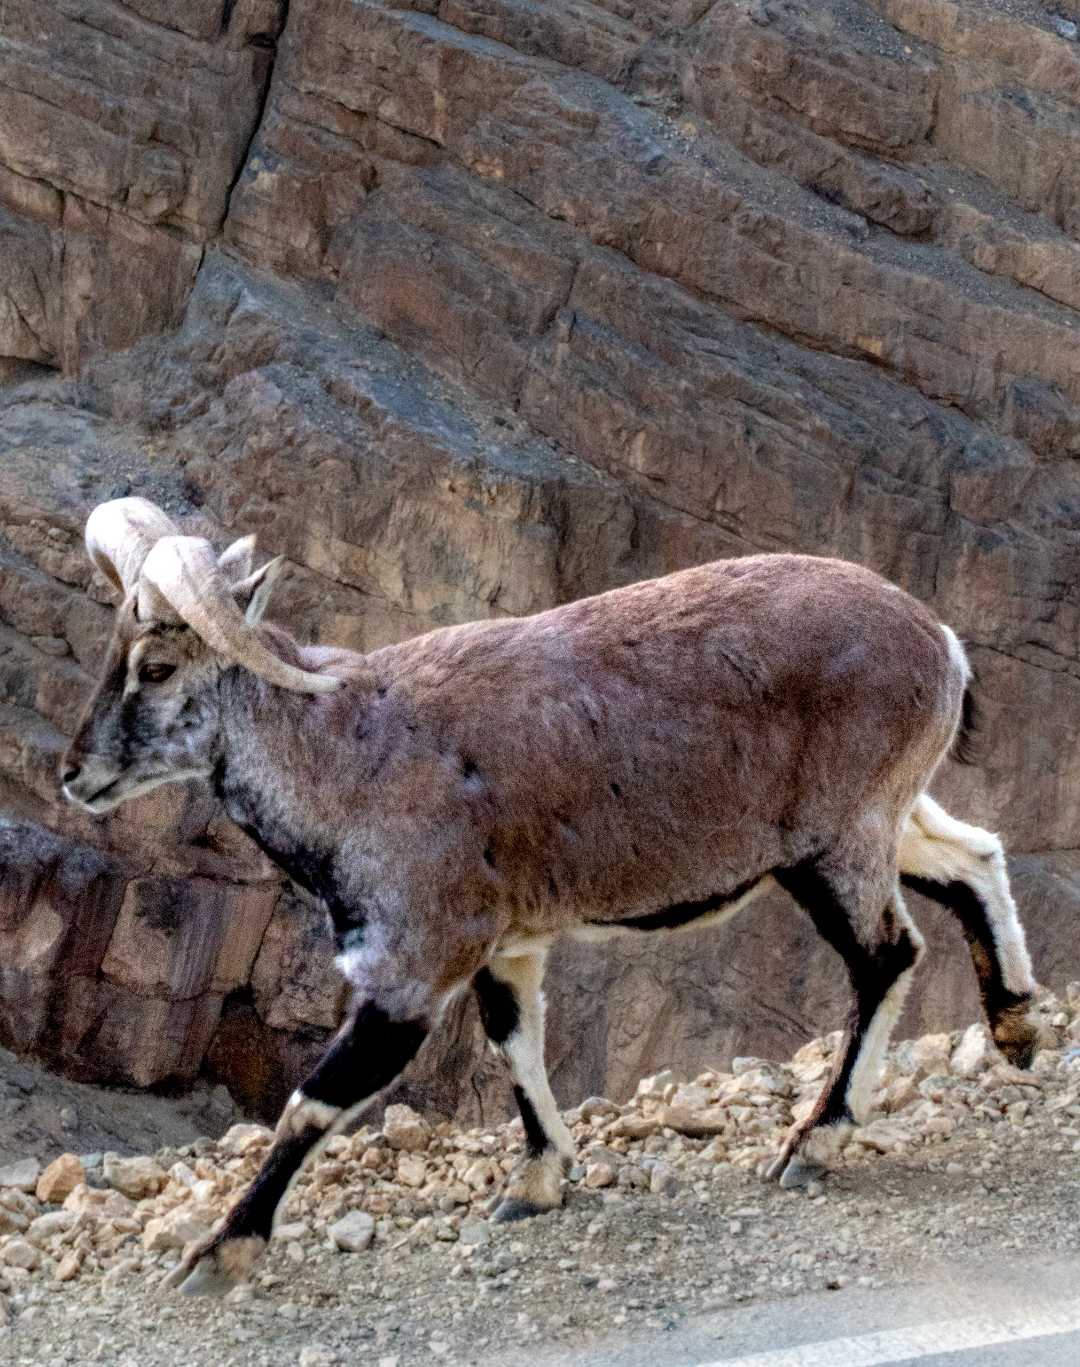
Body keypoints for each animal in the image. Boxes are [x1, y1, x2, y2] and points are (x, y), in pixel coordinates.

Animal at [60, 497, 1040, 1295]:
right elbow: (515, 1044)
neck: (345, 753)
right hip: (883, 818)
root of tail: (941, 642)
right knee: (975, 858)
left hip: (834, 844)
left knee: (889, 954)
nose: (75, 774)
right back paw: (1017, 1027)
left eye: (156, 667)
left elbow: (315, 1101)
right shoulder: (508, 945)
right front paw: (536, 1182)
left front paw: (218, 1254)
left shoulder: (415, 964)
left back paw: (815, 1141)